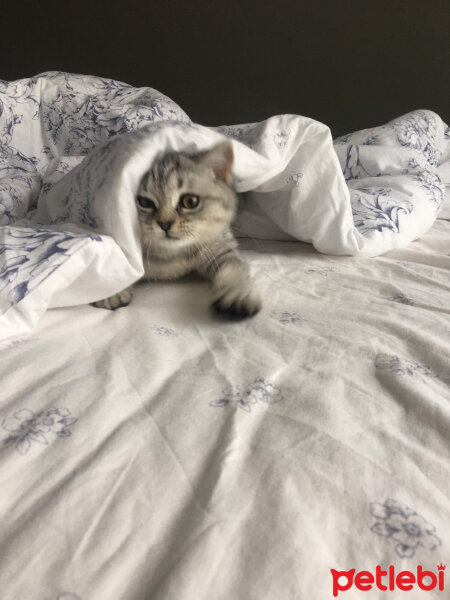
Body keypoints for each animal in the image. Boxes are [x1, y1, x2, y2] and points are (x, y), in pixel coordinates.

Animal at [92, 141, 260, 318]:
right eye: (144, 202)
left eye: (190, 201)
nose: (165, 224)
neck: (171, 257)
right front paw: (110, 291)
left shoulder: (221, 248)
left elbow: (234, 269)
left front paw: (238, 293)